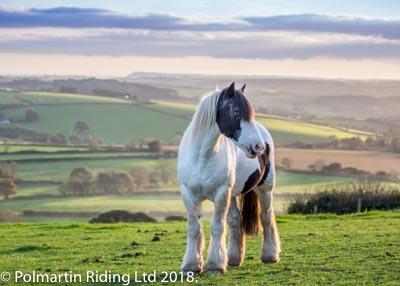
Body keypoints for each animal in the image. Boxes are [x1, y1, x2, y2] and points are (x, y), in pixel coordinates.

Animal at [178, 82, 282, 274]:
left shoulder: (221, 194)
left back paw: (270, 255)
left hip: (264, 188)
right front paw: (191, 265)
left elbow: (217, 227)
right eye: (236, 113)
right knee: (235, 221)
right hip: (233, 195)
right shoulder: (189, 195)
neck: (202, 158)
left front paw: (215, 265)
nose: (259, 147)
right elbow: (194, 228)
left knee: (266, 217)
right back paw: (233, 258)